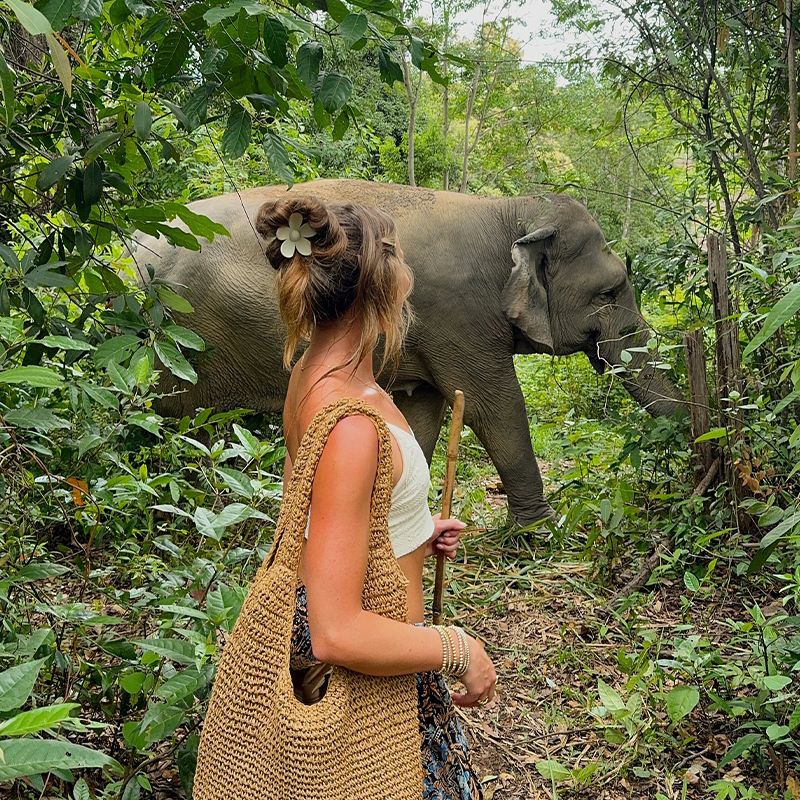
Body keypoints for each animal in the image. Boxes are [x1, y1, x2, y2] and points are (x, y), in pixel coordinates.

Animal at [131, 179, 683, 526]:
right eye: (609, 293)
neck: (511, 210)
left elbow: (422, 412)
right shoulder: (459, 317)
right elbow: (496, 406)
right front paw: (543, 529)